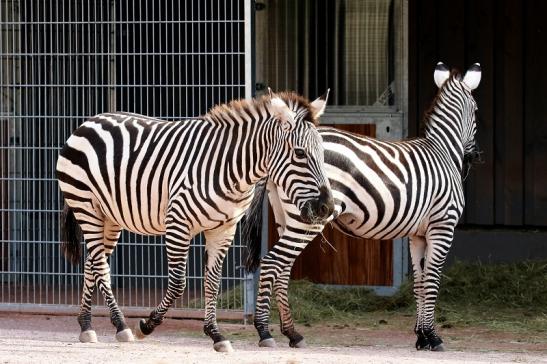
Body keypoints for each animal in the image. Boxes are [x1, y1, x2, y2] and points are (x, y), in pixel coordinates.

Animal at [57, 89, 336, 352]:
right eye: (299, 153)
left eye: (323, 153)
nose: (327, 207)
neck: (230, 168)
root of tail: (90, 121)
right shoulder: (178, 223)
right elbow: (178, 283)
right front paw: (146, 325)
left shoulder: (224, 229)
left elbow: (212, 282)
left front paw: (216, 334)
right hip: (86, 206)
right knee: (101, 266)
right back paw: (122, 325)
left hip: (110, 217)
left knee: (93, 263)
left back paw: (86, 326)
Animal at [245, 62, 484, 350]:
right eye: (477, 109)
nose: (474, 155)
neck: (442, 151)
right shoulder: (442, 226)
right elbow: (432, 281)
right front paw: (433, 337)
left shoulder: (417, 235)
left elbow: (419, 282)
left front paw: (421, 336)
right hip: (308, 217)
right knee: (272, 263)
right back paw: (264, 331)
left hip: (286, 216)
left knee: (283, 267)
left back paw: (292, 333)